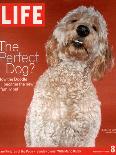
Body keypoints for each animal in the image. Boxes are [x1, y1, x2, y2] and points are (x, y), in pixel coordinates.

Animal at [24, 6, 113, 147]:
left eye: (95, 27)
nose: (83, 29)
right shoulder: (44, 133)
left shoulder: (86, 137)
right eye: (73, 20)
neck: (71, 76)